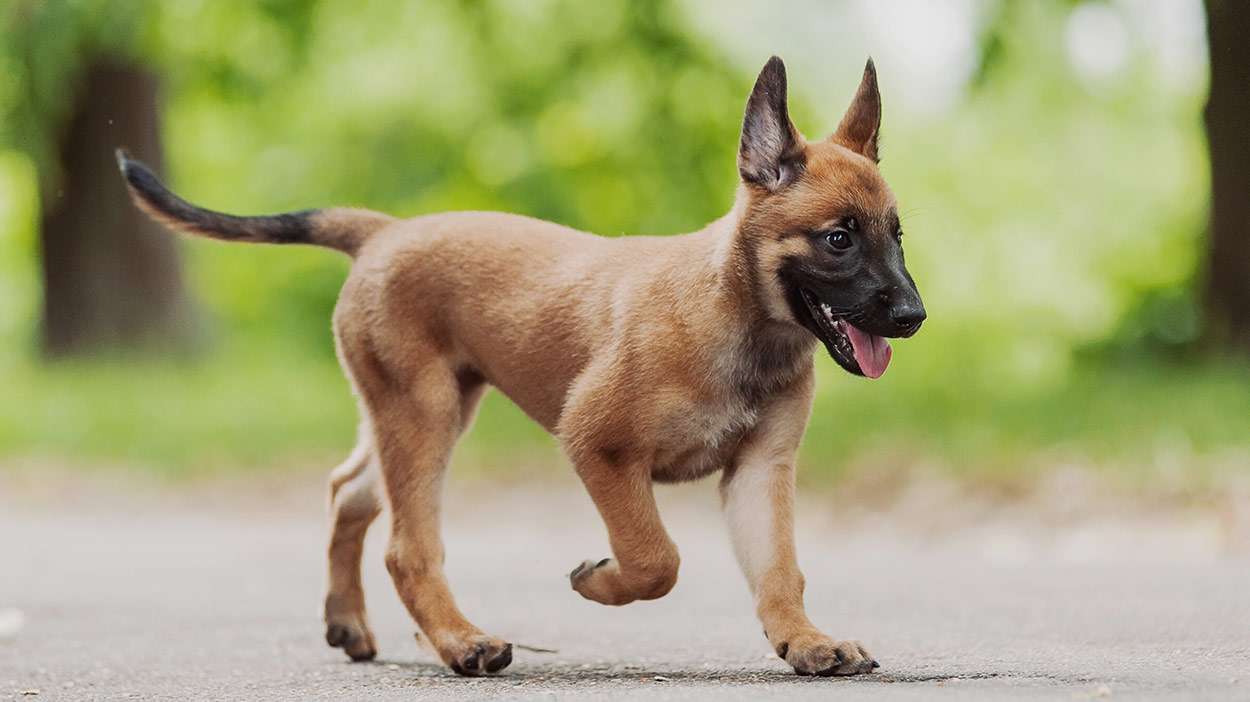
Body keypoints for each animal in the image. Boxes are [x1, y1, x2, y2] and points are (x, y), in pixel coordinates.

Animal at [121, 55, 925, 679]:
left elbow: (779, 568)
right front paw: (600, 582)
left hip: (417, 414)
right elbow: (656, 558)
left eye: (896, 236)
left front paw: (805, 640)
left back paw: (352, 624)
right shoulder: (599, 446)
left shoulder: (760, 472)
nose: (914, 316)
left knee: (348, 492)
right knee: (407, 547)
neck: (734, 314)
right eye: (839, 238)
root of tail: (384, 232)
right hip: (423, 416)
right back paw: (459, 642)